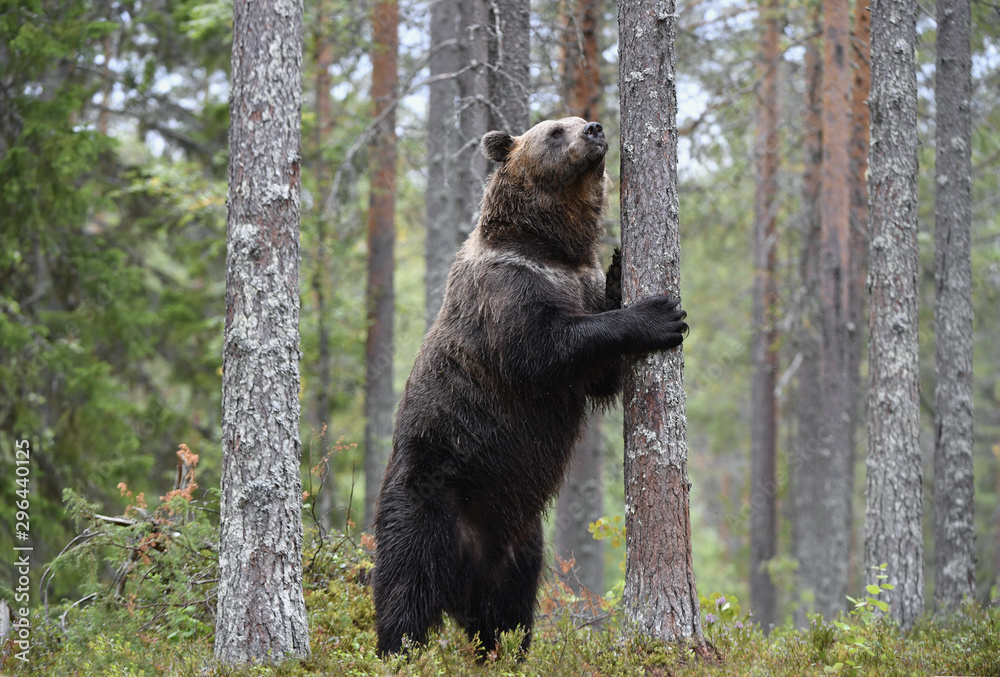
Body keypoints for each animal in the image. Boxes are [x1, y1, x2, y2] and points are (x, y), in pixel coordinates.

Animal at [368, 116, 688, 656]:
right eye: (556, 130)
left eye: (578, 120)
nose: (594, 128)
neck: (551, 249)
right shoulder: (506, 294)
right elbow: (546, 348)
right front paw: (659, 315)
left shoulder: (574, 281)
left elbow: (599, 375)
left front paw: (619, 270)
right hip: (427, 496)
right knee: (405, 590)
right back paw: (398, 651)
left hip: (521, 545)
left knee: (508, 615)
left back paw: (503, 651)